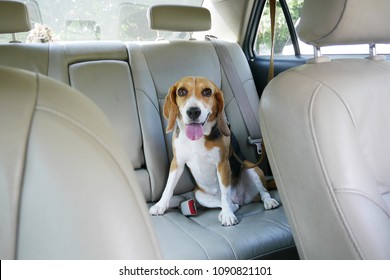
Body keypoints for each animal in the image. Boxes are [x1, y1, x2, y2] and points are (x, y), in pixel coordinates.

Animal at [148, 77, 278, 226]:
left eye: (207, 92)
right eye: (181, 91)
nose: (193, 111)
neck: (197, 139)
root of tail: (239, 198)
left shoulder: (222, 164)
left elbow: (225, 193)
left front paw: (228, 215)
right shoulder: (177, 163)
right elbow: (168, 187)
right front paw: (160, 205)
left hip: (250, 168)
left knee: (261, 192)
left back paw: (268, 202)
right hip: (199, 195)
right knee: (232, 204)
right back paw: (228, 209)